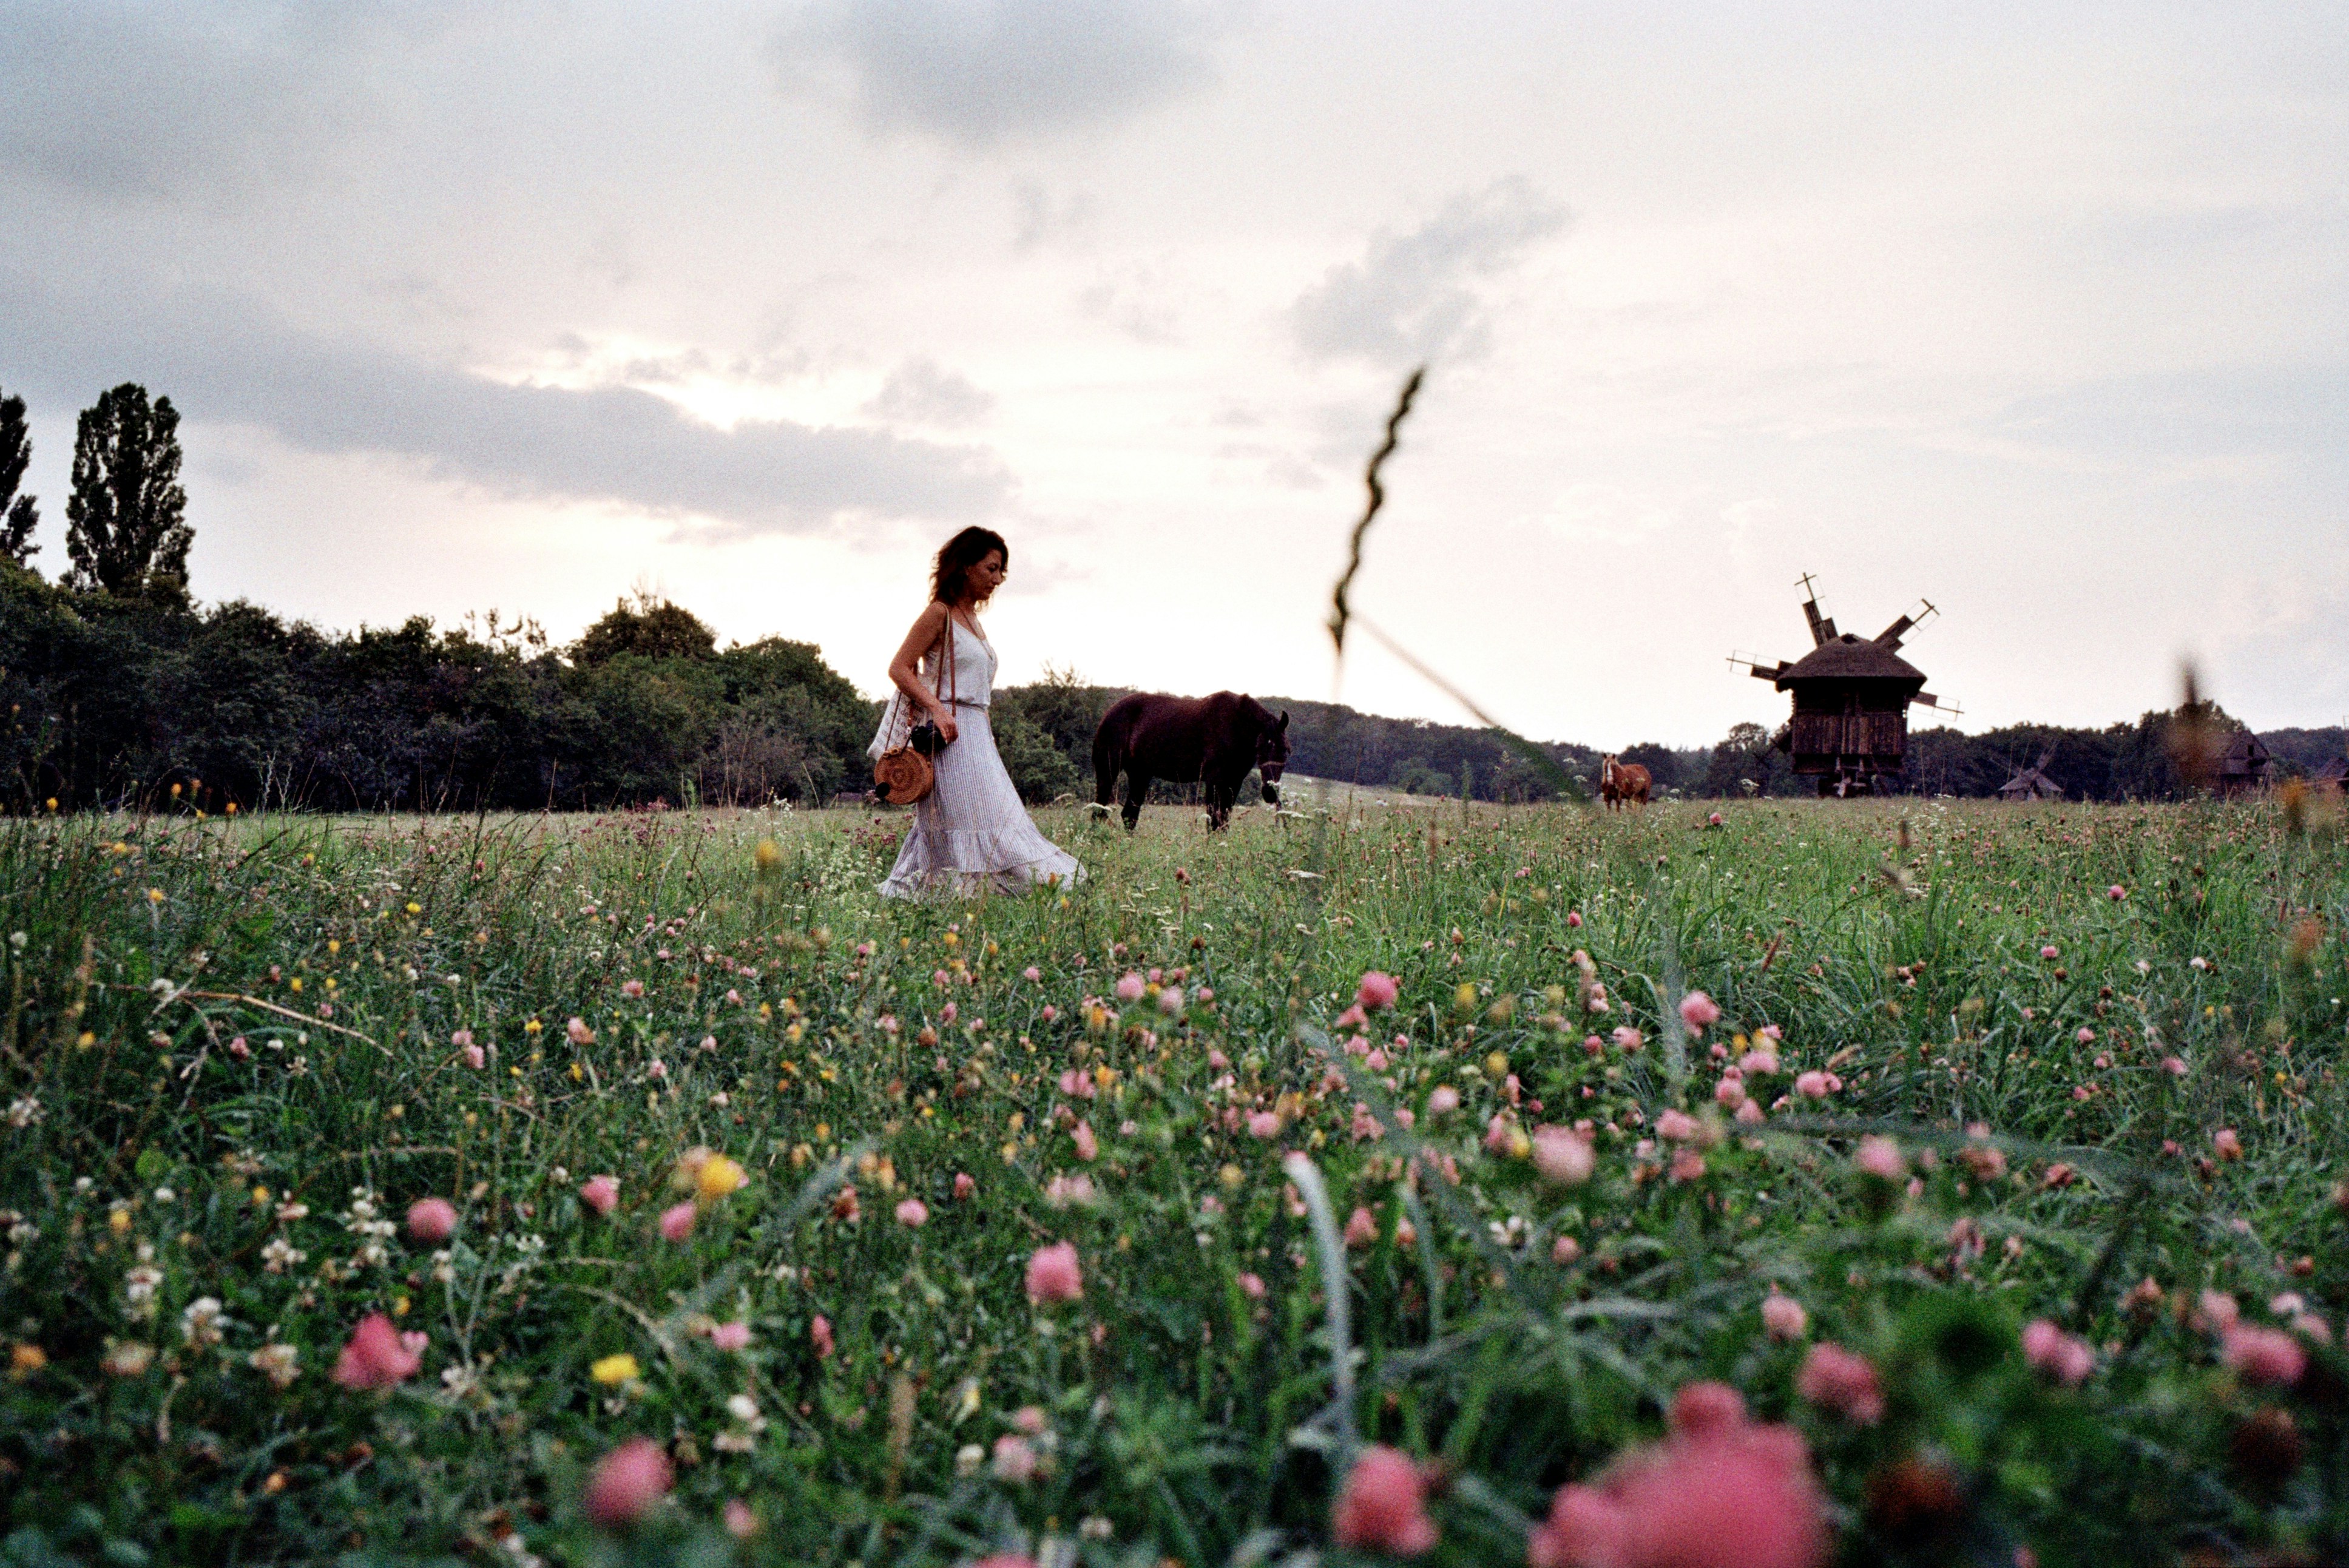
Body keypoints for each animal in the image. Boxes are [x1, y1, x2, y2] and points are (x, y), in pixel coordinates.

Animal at [1090, 690, 1296, 826]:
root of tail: (1108, 714)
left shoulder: (1234, 783)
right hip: (1109, 770)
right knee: (1098, 810)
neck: (1234, 728)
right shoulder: (1214, 780)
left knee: (1129, 815)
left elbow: (1224, 821)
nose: (1270, 793)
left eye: (1286, 750)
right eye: (1260, 748)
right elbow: (1214, 821)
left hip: (1140, 774)